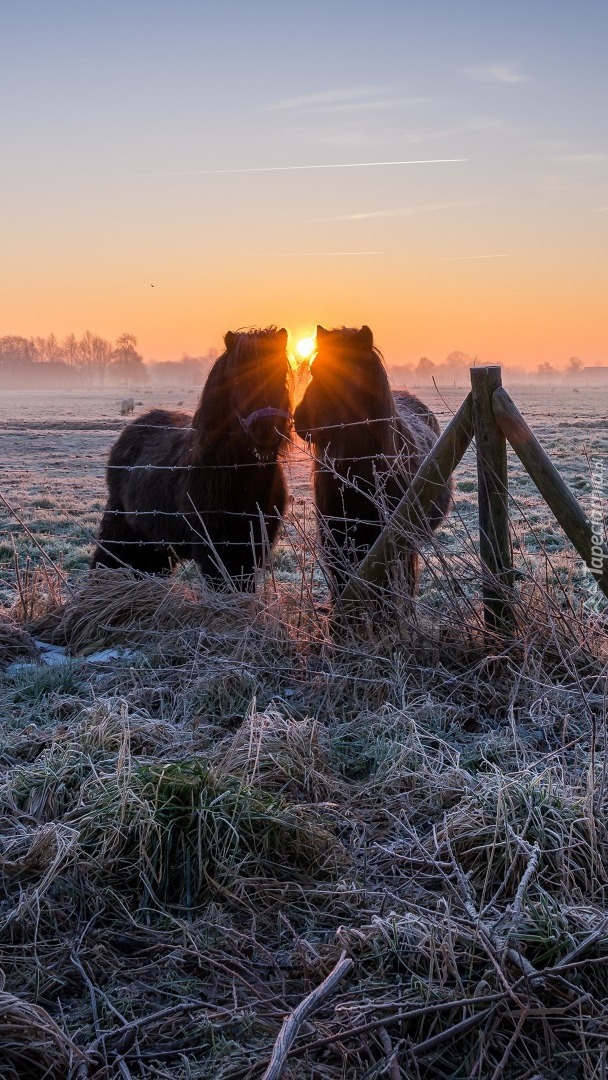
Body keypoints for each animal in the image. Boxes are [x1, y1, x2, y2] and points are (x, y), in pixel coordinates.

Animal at [92, 326, 295, 591]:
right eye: (238, 379)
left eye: (281, 376)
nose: (267, 431)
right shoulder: (215, 551)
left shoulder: (250, 548)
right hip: (122, 526)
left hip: (155, 542)